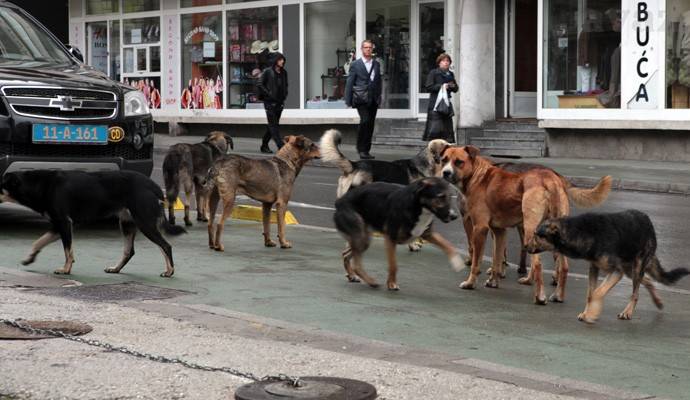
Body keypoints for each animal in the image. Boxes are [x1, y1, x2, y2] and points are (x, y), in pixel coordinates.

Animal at [0, 170, 185, 278]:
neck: (39, 184)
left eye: (0, 187)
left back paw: (170, 271)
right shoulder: (59, 225)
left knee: (165, 246)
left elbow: (67, 251)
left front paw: (66, 270)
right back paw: (116, 269)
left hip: (144, 222)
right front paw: (30, 258)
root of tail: (153, 185)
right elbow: (39, 241)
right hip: (127, 223)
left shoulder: (64, 223)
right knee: (129, 251)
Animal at [332, 178, 462, 290]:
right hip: (361, 237)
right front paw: (392, 284)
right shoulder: (390, 238)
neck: (419, 207)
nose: (455, 216)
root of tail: (339, 201)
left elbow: (448, 245)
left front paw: (456, 262)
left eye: (450, 196)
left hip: (363, 238)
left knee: (346, 254)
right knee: (356, 264)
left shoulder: (428, 234)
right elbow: (393, 264)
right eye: (440, 197)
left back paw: (352, 275)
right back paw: (370, 281)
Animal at [438, 145, 612, 304]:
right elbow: (496, 258)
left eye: (459, 162)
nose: (445, 173)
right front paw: (494, 281)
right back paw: (557, 295)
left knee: (538, 265)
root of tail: (550, 178)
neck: (477, 174)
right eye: (444, 160)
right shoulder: (499, 232)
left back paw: (539, 296)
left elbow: (476, 259)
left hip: (530, 231)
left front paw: (470, 283)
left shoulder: (479, 228)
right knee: (563, 266)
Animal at [524, 211, 684, 324]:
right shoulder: (594, 268)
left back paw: (628, 312)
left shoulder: (616, 272)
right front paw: (587, 313)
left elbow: (597, 293)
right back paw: (657, 301)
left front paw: (592, 315)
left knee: (635, 293)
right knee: (647, 281)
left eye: (536, 235)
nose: (525, 247)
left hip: (636, 267)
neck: (581, 232)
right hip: (630, 270)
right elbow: (590, 294)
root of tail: (647, 219)